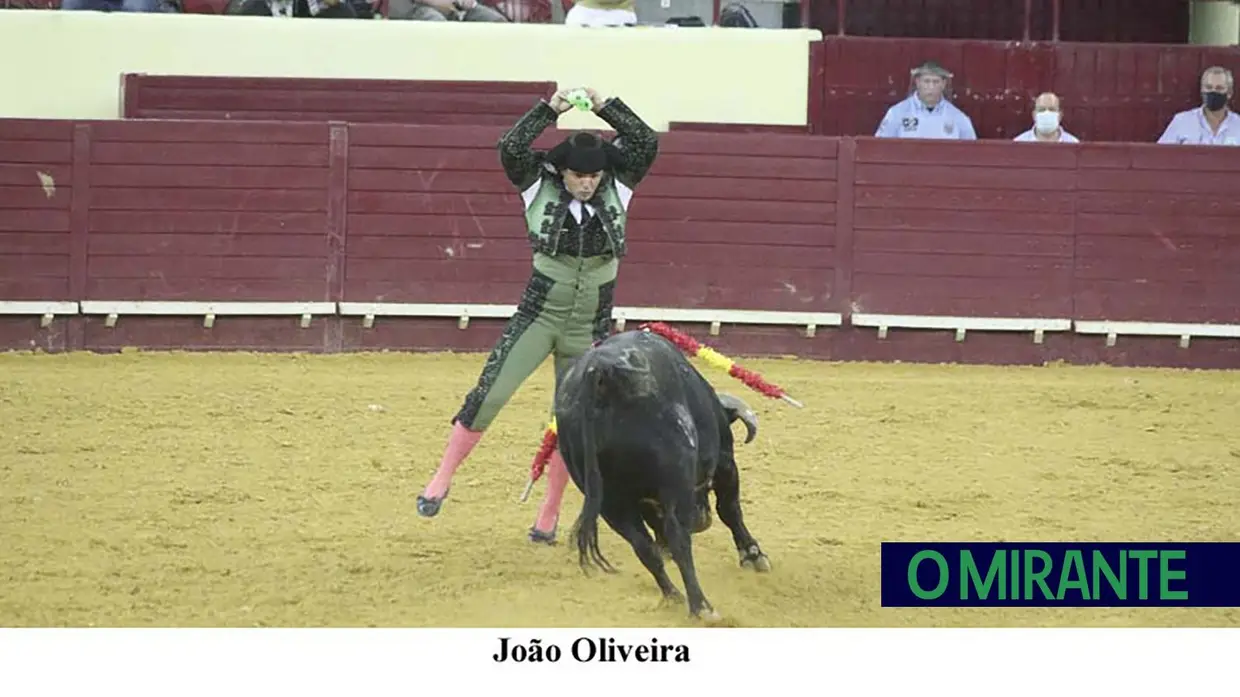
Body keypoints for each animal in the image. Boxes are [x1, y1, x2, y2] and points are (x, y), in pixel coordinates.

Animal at [555, 327, 768, 615]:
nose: (702, 521)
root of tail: (600, 373)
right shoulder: (725, 463)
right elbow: (730, 510)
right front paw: (753, 555)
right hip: (674, 486)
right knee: (679, 538)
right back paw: (701, 607)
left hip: (610, 501)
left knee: (643, 547)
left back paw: (673, 595)